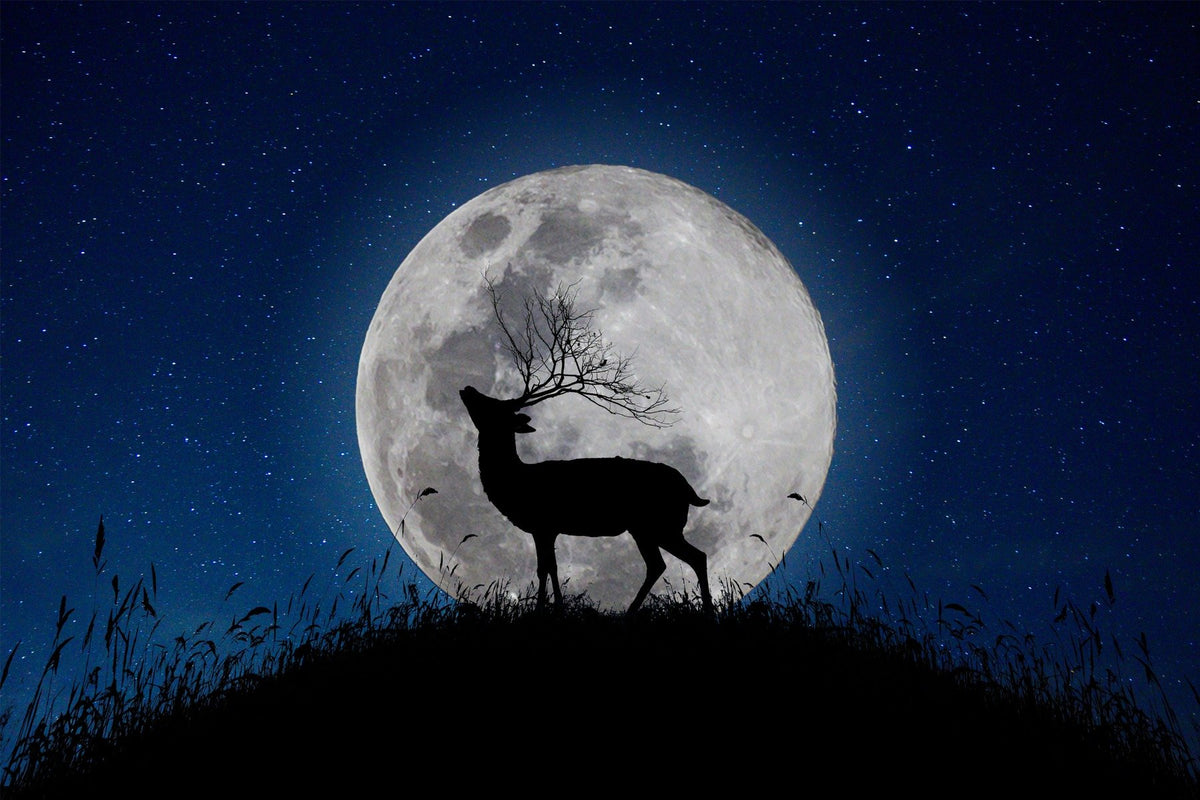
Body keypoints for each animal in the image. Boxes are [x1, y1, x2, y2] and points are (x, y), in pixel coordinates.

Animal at [459, 276, 713, 614]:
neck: (514, 484)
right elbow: (548, 568)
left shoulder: (544, 522)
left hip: (657, 522)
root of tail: (689, 490)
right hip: (650, 526)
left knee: (686, 558)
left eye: (495, 408)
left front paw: (547, 609)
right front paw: (554, 607)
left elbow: (545, 568)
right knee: (670, 561)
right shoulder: (546, 527)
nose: (467, 387)